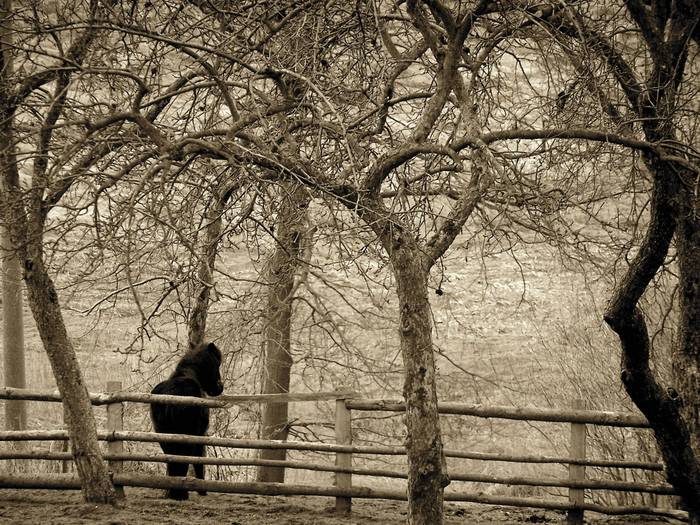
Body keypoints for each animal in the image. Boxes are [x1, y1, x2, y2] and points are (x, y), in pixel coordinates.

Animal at [151, 340, 224, 500]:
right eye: (217, 364)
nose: (219, 387)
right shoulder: (200, 435)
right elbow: (198, 461)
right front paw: (202, 490)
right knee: (183, 459)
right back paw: (181, 493)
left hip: (164, 436)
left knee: (173, 459)